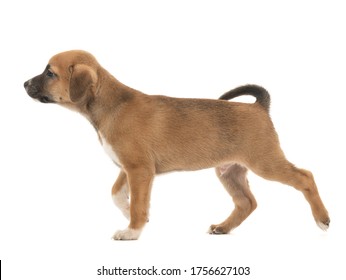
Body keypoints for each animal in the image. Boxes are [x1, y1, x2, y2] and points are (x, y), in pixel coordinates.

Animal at [23, 49, 330, 238]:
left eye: (50, 73)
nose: (24, 84)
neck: (110, 104)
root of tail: (259, 107)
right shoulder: (129, 169)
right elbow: (117, 194)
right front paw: (134, 216)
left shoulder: (139, 170)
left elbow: (137, 203)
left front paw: (132, 231)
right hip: (229, 171)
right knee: (247, 202)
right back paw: (223, 228)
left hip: (265, 162)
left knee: (306, 177)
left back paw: (322, 218)